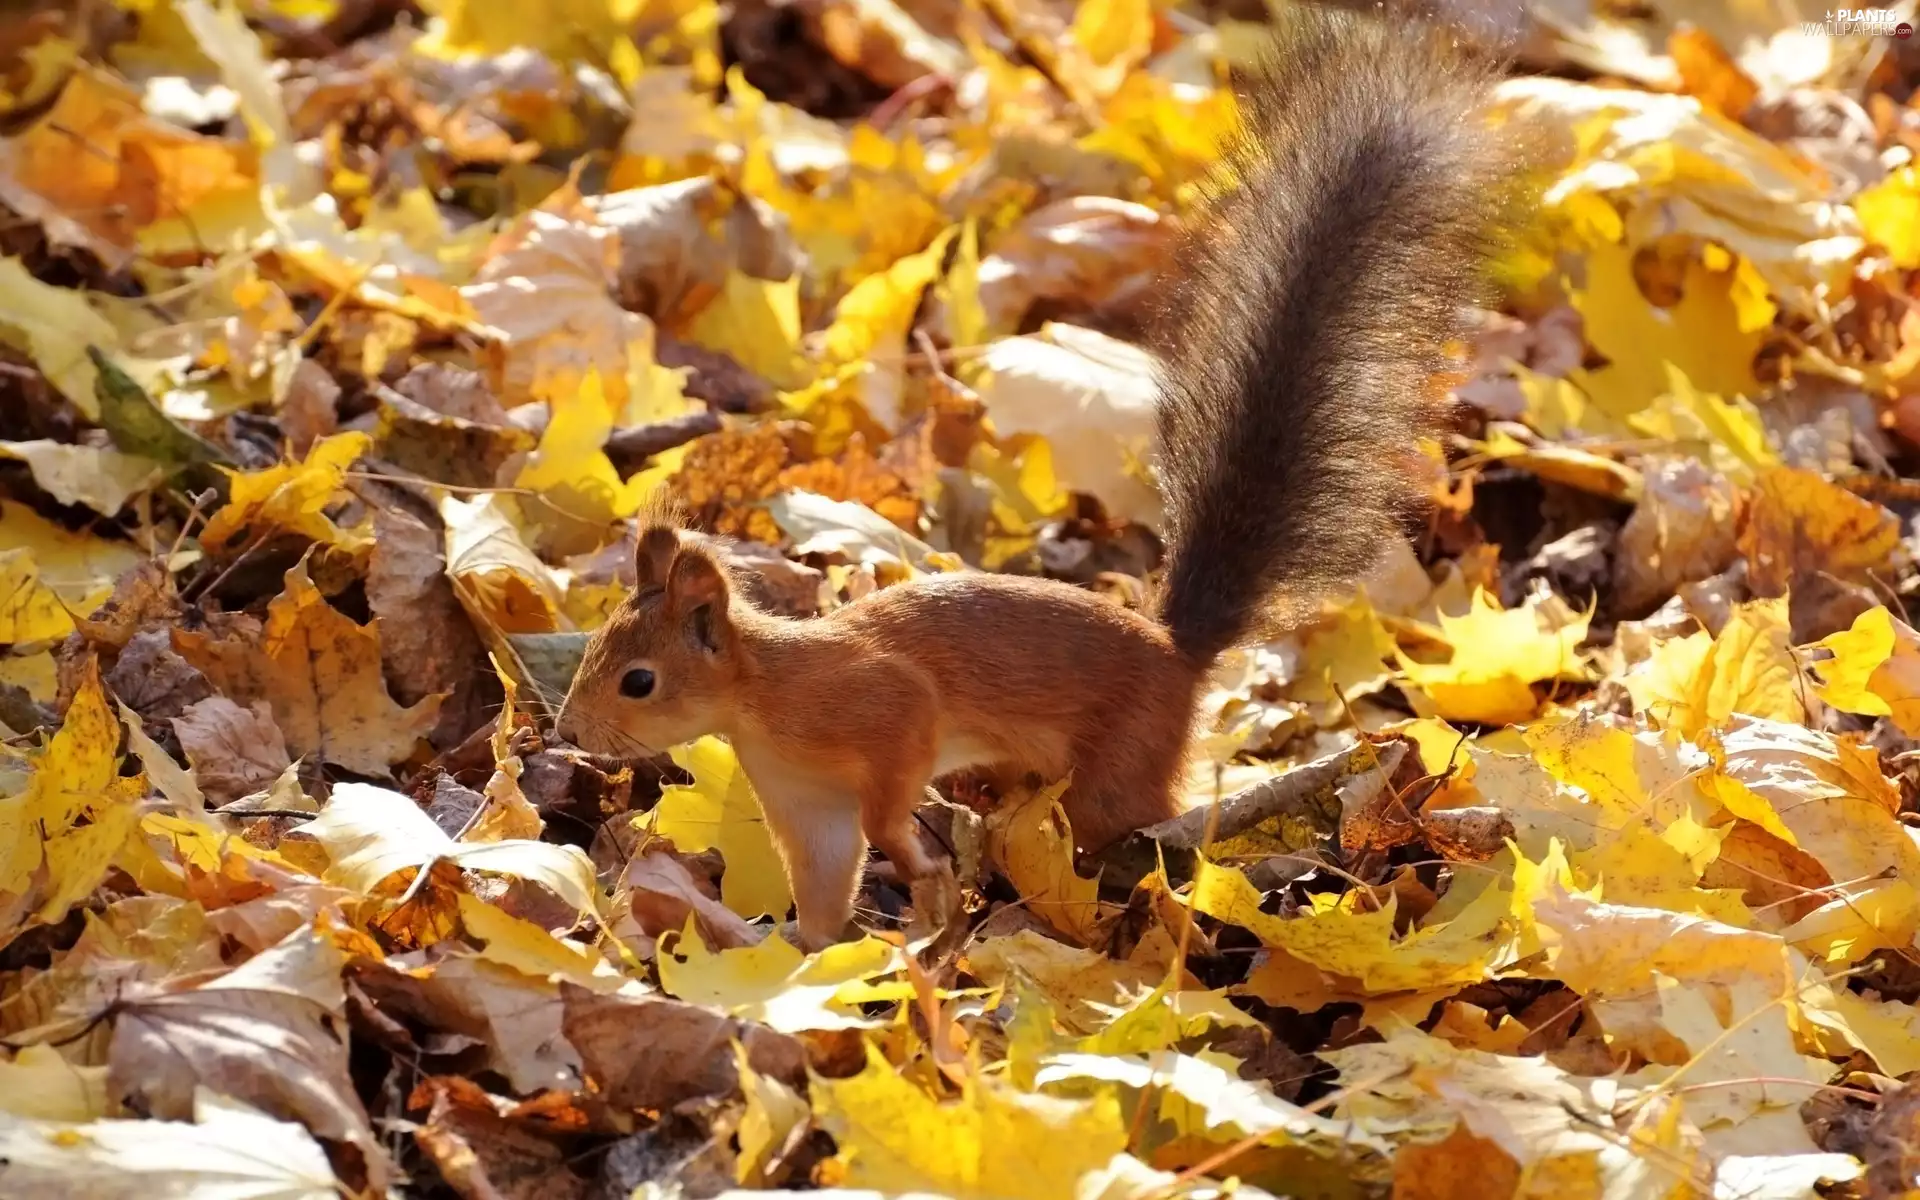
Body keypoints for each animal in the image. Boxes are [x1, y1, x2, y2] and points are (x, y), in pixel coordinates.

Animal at [555, 4, 1529, 950]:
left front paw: (913, 862)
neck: (762, 696)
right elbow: (825, 883)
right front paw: (802, 953)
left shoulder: (884, 709)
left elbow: (892, 788)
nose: (568, 732)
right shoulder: (806, 802)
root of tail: (1177, 654)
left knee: (1138, 829)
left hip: (1116, 768)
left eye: (639, 680)